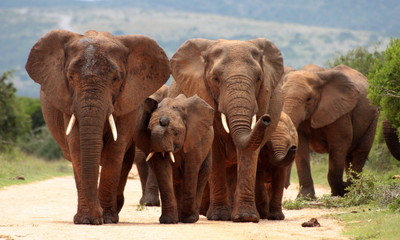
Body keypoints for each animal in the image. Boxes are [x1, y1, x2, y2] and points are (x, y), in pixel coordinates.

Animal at [25, 30, 169, 225]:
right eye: (70, 77)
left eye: (116, 78)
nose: (95, 217)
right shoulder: (68, 101)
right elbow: (77, 145)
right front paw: (86, 220)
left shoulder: (127, 100)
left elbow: (115, 149)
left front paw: (105, 218)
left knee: (125, 160)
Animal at [146, 93, 216, 223]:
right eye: (149, 130)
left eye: (176, 132)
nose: (163, 121)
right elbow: (163, 169)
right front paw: (168, 221)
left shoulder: (194, 139)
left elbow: (191, 170)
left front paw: (189, 219)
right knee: (177, 182)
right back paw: (178, 218)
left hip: (208, 147)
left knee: (202, 174)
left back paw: (193, 217)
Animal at [170, 38, 284, 223]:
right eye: (215, 78)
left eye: (259, 78)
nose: (266, 119)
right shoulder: (204, 94)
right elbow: (215, 150)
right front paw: (219, 216)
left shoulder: (262, 98)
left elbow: (249, 152)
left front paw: (246, 217)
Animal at [282, 63, 380, 197]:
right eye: (281, 95)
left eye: (309, 99)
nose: (286, 186)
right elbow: (301, 146)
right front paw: (305, 197)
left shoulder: (340, 112)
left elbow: (339, 143)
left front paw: (339, 192)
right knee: (348, 157)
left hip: (373, 118)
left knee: (360, 152)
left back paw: (352, 192)